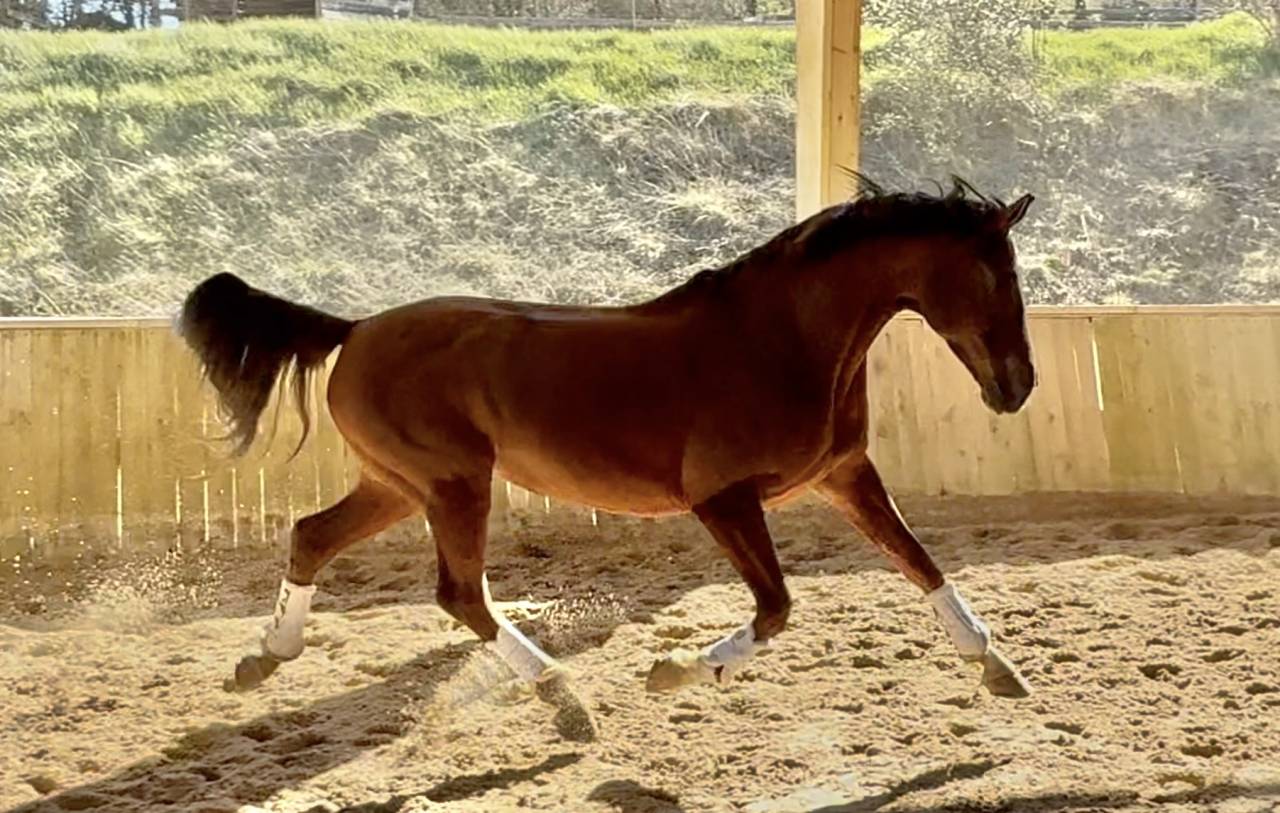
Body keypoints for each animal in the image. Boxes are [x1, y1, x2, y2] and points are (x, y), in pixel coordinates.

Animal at [178, 178, 1037, 743]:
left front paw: (999, 667)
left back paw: (266, 656)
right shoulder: (722, 498)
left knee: (313, 535)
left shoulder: (843, 474)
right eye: (992, 274)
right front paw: (678, 668)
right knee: (461, 593)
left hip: (399, 483)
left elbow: (920, 561)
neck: (783, 338)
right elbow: (777, 607)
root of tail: (354, 329)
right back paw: (565, 698)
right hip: (453, 484)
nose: (1018, 385)